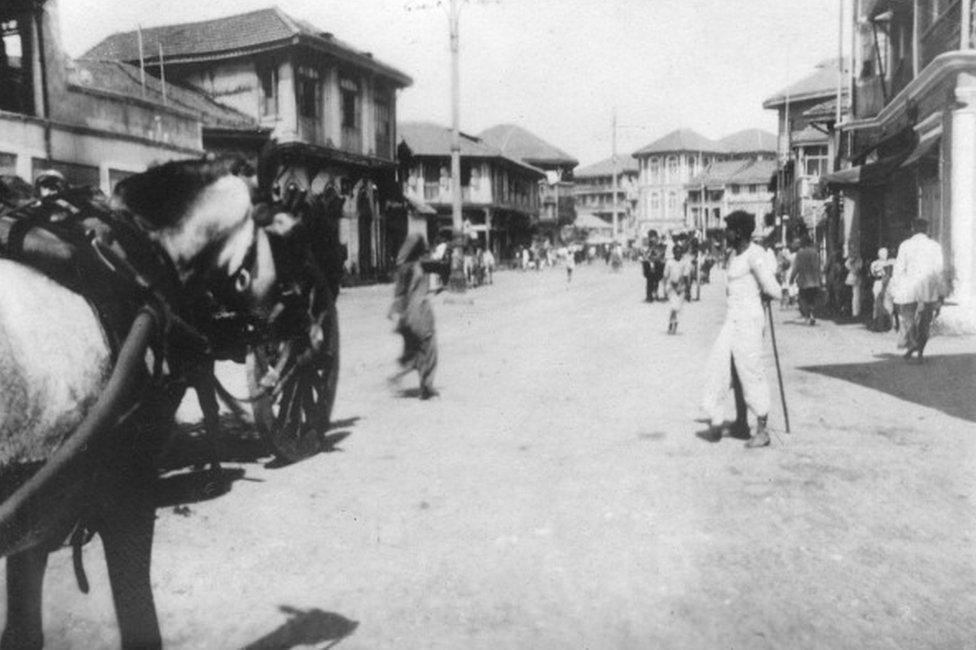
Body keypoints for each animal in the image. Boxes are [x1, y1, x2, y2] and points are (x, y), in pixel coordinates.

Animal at [0, 158, 278, 648]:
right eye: (267, 226)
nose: (281, 322)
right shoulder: (127, 491)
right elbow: (138, 619)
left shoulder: (36, 521)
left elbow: (22, 631)